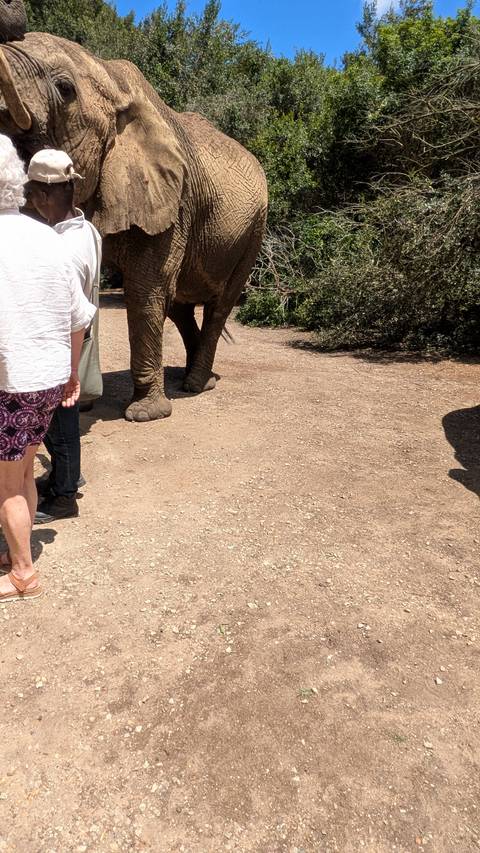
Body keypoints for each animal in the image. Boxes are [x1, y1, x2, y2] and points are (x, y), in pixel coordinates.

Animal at [0, 10, 268, 422]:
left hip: (254, 231)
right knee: (179, 305)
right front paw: (82, 404)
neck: (113, 79)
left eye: (65, 89)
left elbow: (145, 287)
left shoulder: (175, 199)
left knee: (217, 304)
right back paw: (197, 379)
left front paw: (145, 414)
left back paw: (195, 384)